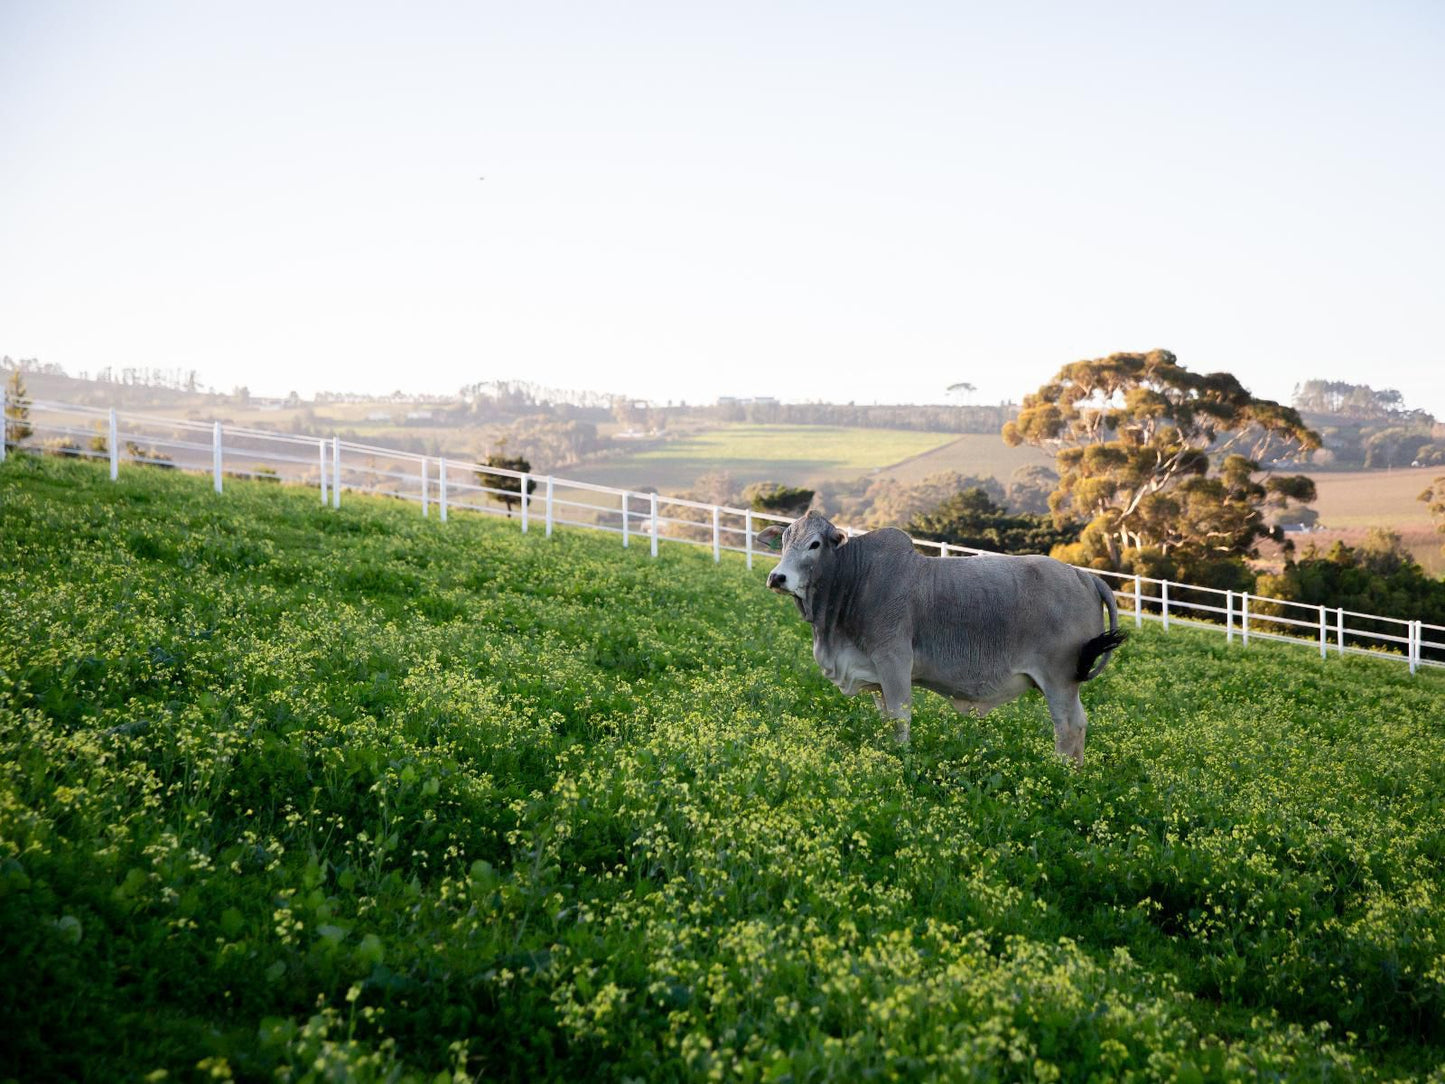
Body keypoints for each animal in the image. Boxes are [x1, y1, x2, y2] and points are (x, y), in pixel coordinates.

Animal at [762, 511, 1121, 757]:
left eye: (814, 544)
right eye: (784, 542)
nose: (777, 577)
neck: (854, 578)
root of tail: (1084, 576)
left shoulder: (894, 661)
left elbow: (900, 717)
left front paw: (901, 757)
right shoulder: (873, 674)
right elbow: (886, 719)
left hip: (1059, 680)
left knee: (1068, 727)